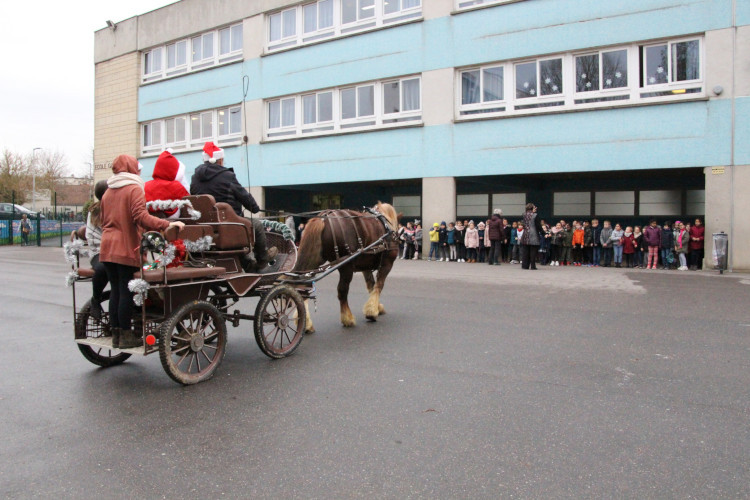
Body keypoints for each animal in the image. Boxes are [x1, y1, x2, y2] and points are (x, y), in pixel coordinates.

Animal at [294, 201, 402, 330]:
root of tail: (324, 217)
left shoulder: (366, 268)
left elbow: (371, 285)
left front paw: (377, 307)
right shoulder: (387, 264)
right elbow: (379, 285)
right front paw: (372, 311)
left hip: (312, 262)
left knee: (304, 287)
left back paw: (306, 323)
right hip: (346, 267)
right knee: (342, 291)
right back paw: (347, 318)